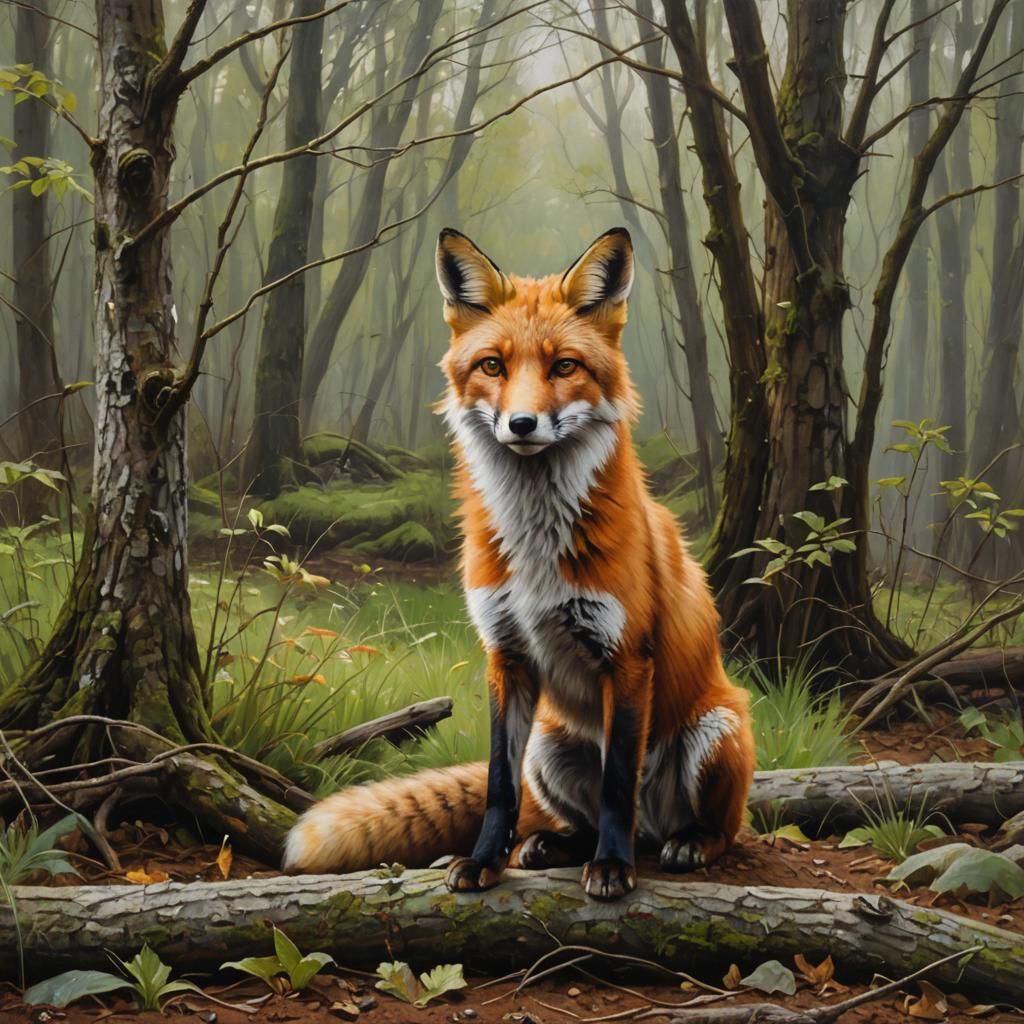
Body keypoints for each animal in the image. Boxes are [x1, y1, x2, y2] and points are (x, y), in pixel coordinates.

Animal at [283, 226, 756, 900]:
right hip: (550, 749)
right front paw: (485, 860)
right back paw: (551, 845)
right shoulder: (505, 653)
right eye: (493, 366)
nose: (523, 423)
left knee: (702, 826)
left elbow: (618, 785)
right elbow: (498, 788)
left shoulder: (627, 656)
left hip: (716, 728)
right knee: (577, 817)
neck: (538, 543)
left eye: (564, 366)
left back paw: (676, 845)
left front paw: (612, 871)